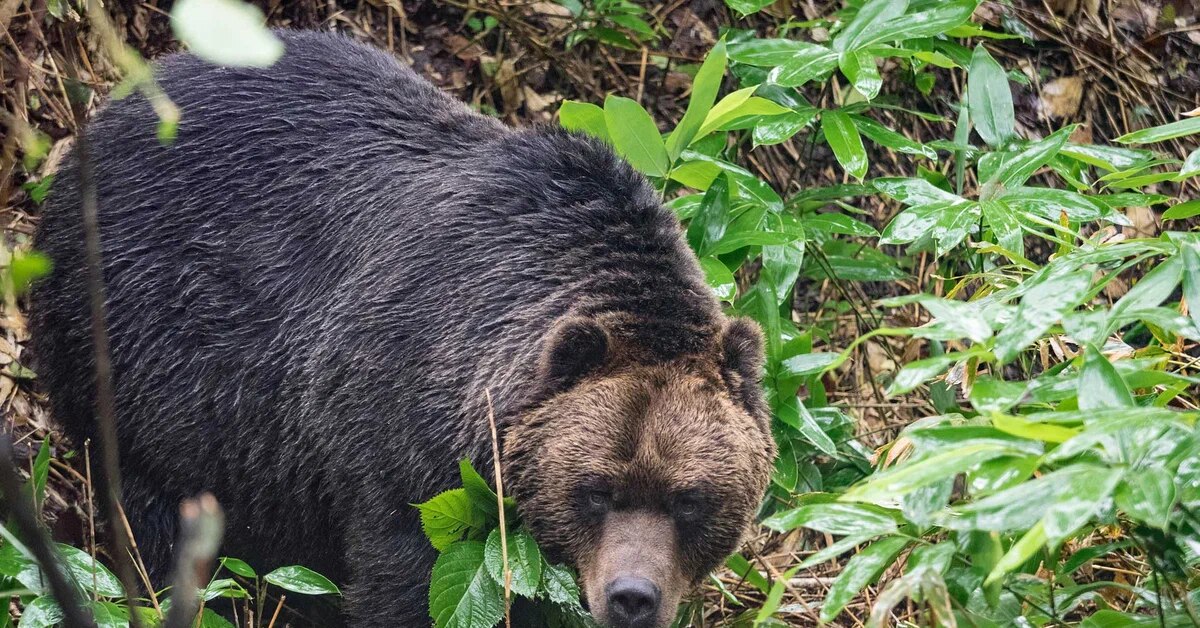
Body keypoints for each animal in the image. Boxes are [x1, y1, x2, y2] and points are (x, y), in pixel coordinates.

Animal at [35, 30, 777, 628]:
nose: (632, 597)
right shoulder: (397, 439)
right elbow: (406, 579)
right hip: (140, 349)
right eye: (595, 490)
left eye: (689, 499)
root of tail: (113, 107)